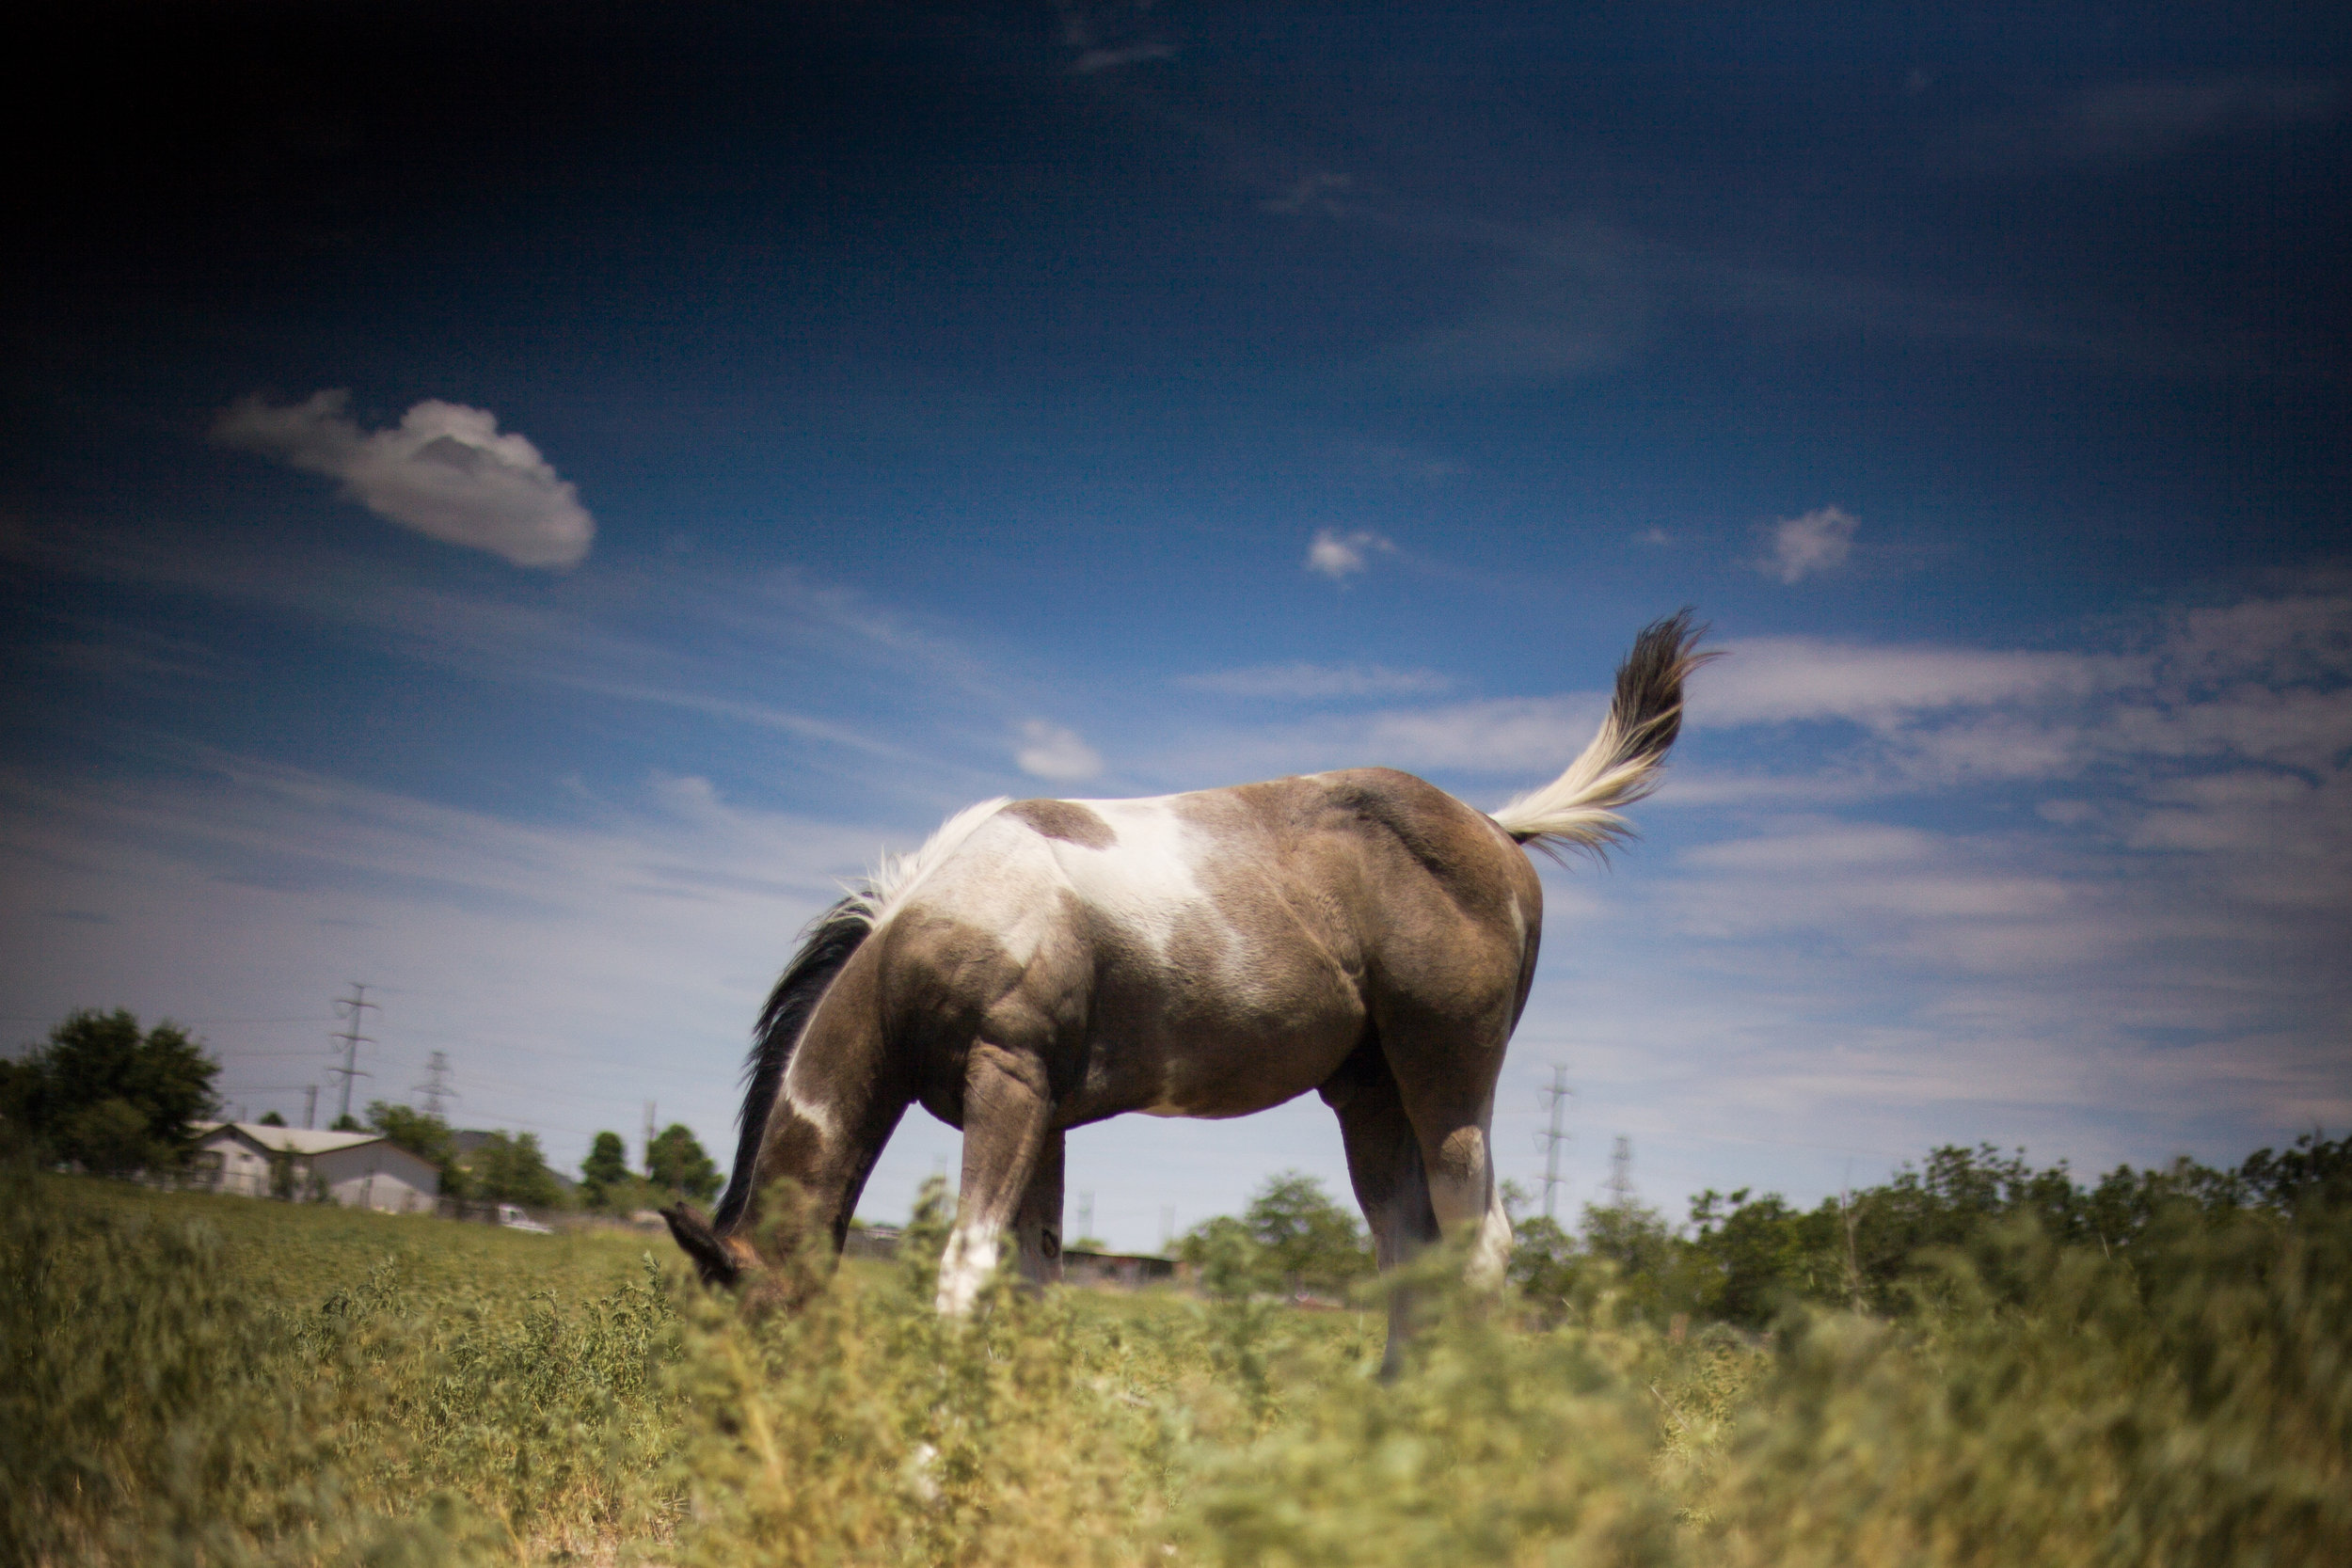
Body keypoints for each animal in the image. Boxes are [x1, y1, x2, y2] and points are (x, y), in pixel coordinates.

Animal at [668, 606, 1712, 1354]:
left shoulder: (1007, 1083)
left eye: (748, 1325)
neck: (949, 914)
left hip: (1449, 1087)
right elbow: (1037, 1287)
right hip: (1369, 1100)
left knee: (1479, 1248)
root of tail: (1499, 827)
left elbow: (966, 1270)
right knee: (1408, 1255)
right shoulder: (1044, 1115)